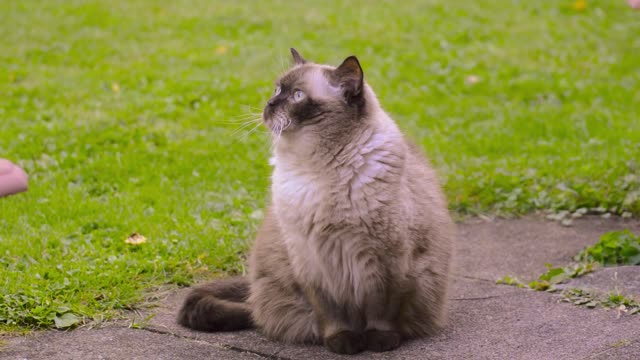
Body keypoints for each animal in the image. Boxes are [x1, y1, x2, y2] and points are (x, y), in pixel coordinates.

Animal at [178, 47, 452, 354]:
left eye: (297, 96)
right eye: (277, 89)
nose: (269, 104)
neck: (316, 168)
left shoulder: (390, 260)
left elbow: (382, 311)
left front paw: (379, 342)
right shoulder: (312, 263)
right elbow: (331, 314)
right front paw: (343, 344)